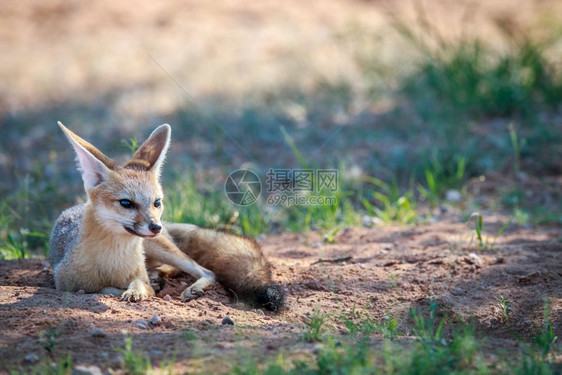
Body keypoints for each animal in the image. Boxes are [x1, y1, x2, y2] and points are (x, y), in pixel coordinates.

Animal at [48, 122, 284, 312]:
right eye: (126, 203)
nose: (155, 227)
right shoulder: (65, 284)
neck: (113, 261)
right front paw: (132, 288)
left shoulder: (137, 273)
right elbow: (102, 289)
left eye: (156, 202)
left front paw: (137, 290)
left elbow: (138, 285)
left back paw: (186, 286)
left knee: (206, 271)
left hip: (162, 248)